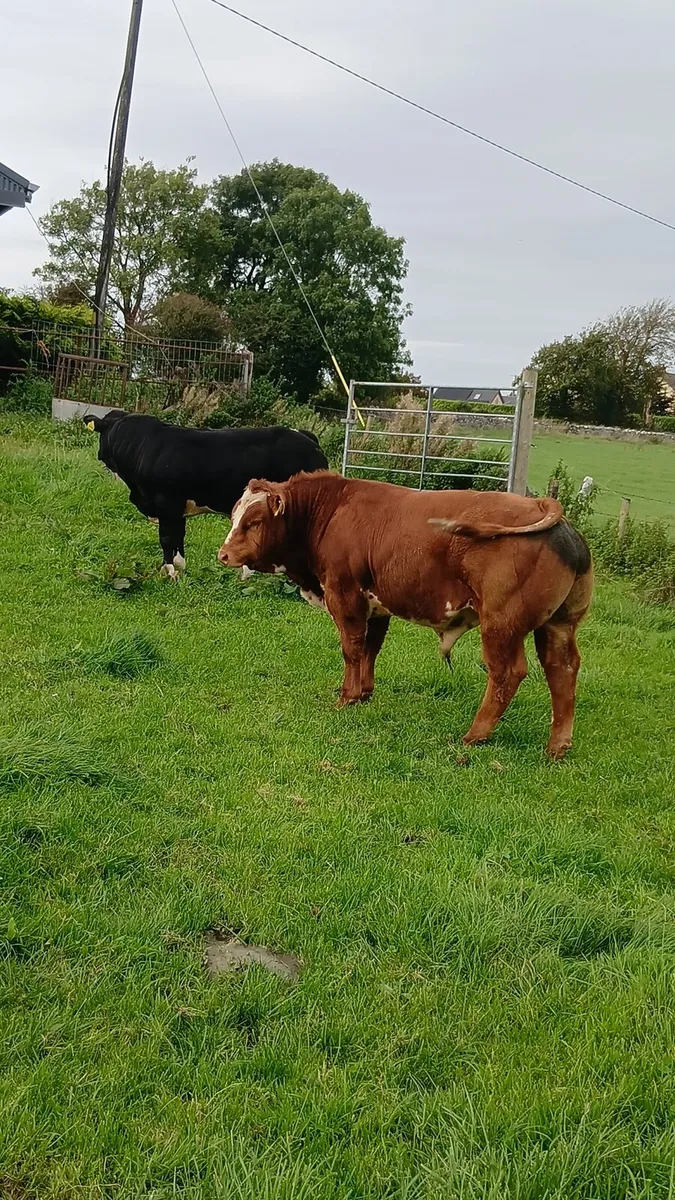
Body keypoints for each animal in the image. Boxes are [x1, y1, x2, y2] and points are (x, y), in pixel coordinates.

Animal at [85, 411, 328, 577]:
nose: (99, 454)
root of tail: (306, 437)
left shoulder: (166, 504)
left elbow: (166, 538)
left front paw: (169, 571)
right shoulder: (178, 509)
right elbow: (178, 537)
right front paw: (180, 568)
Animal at [217, 472, 593, 759]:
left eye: (254, 521)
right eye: (234, 516)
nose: (223, 554)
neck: (331, 511)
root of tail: (542, 506)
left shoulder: (345, 596)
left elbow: (352, 649)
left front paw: (347, 697)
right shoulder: (376, 606)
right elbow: (370, 649)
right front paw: (364, 693)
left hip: (501, 625)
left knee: (507, 673)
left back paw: (476, 734)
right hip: (558, 625)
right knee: (562, 670)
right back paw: (558, 746)